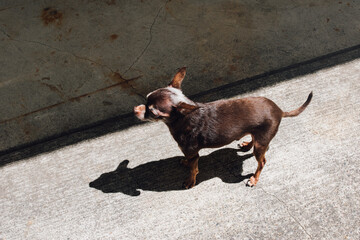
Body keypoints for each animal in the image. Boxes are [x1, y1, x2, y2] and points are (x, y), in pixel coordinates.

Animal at [134, 66, 310, 188]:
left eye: (153, 111)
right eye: (146, 99)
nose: (135, 110)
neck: (182, 118)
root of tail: (279, 110)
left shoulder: (193, 154)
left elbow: (193, 169)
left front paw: (190, 180)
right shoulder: (190, 153)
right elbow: (188, 161)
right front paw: (184, 161)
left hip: (261, 145)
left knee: (262, 162)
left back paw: (254, 179)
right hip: (259, 137)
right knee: (255, 141)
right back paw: (247, 145)